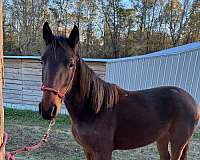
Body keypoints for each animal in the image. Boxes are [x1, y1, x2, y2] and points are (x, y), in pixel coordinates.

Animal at [39, 21, 200, 160]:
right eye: (42, 60)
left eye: (71, 64)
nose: (48, 109)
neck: (94, 109)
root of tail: (191, 99)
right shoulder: (88, 150)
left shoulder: (103, 151)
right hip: (162, 139)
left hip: (178, 143)